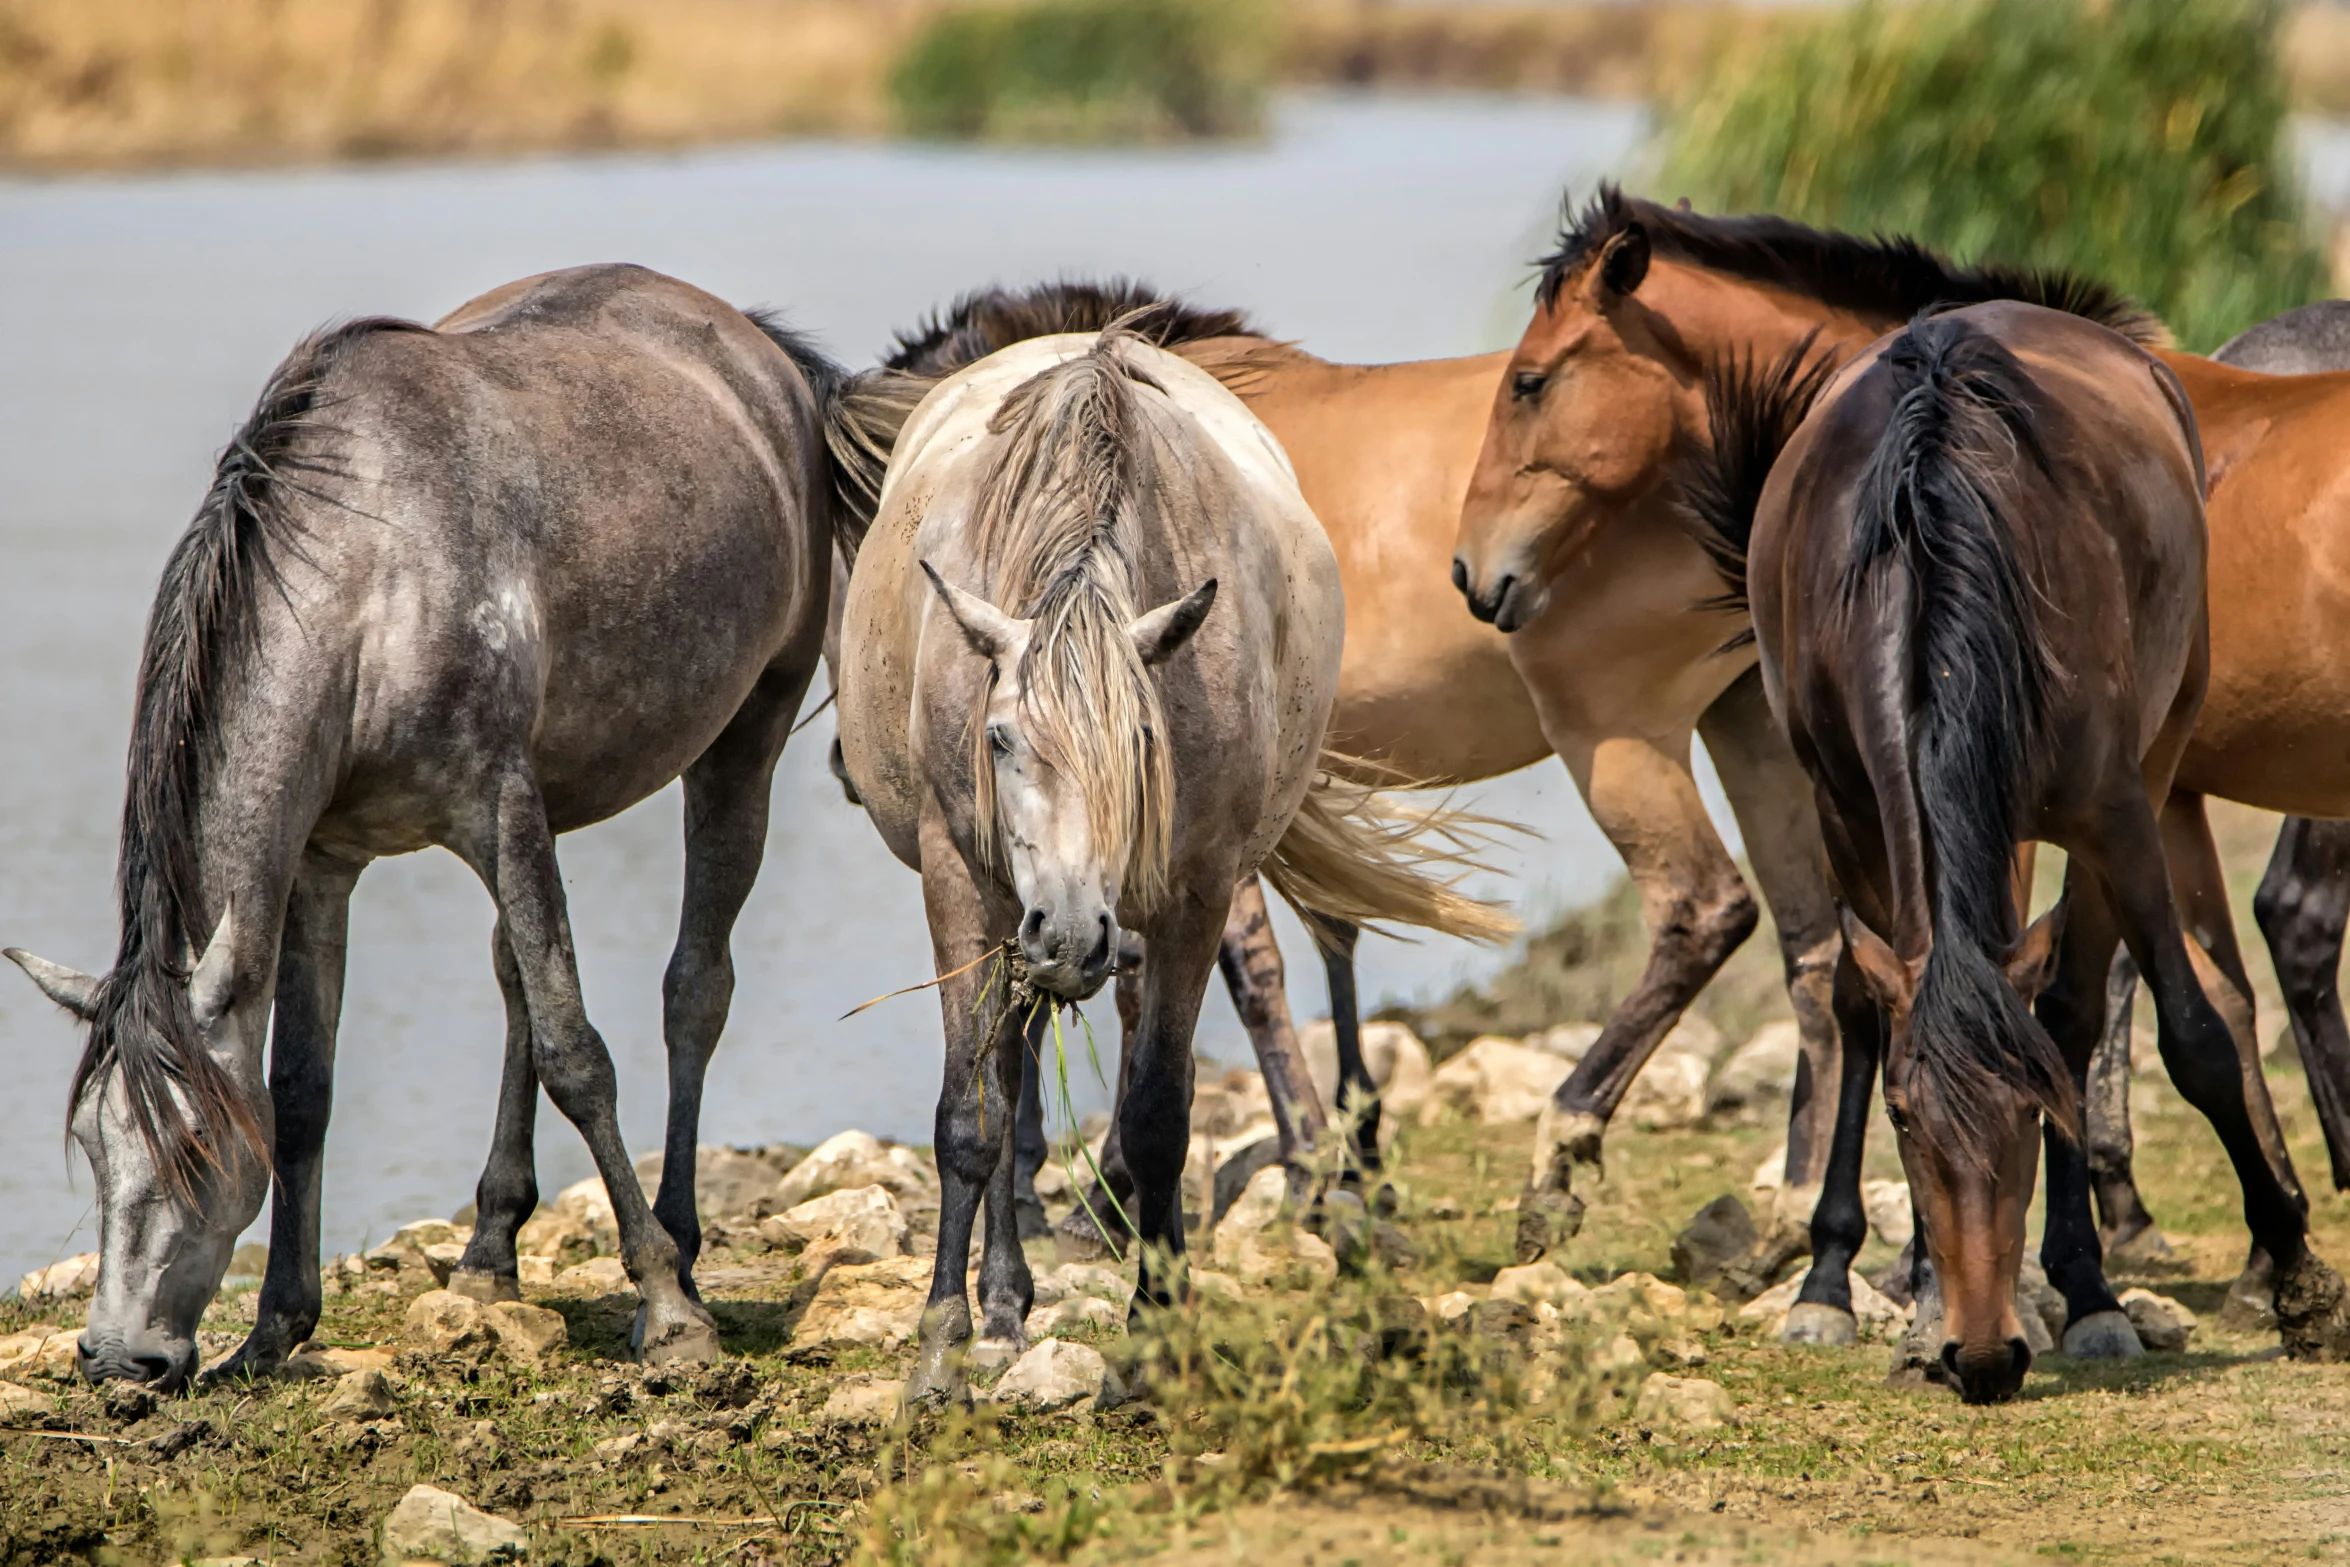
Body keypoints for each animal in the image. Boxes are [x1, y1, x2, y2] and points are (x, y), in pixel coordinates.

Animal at [9, 263, 874, 1390]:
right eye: (90, 1142)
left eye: (194, 1148)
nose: (119, 1356)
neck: (369, 582)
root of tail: (763, 354)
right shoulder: (324, 865)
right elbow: (304, 1087)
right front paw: (275, 1326)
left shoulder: (497, 810)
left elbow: (577, 1052)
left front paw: (670, 1308)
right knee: (516, 978)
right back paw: (489, 1251)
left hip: (741, 741)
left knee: (695, 988)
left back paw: (679, 1244)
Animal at [841, 328, 1504, 1400]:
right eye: (998, 738)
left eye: (1143, 743)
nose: (1070, 935)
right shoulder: (959, 883)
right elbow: (972, 1114)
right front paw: (943, 1336)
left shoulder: (1198, 891)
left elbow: (1160, 1110)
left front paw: (1158, 1327)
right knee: (1009, 1075)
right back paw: (1003, 1305)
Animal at [1720, 303, 2340, 1400]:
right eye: (1906, 1124)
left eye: (2026, 1112)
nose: (1982, 1357)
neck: (1929, 558)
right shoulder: (1845, 811)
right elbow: (1861, 1010)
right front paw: (1863, 1291)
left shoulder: (2115, 810)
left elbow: (2190, 1040)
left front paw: (2296, 1275)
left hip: (2154, 760)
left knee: (2078, 1009)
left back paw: (2091, 1292)